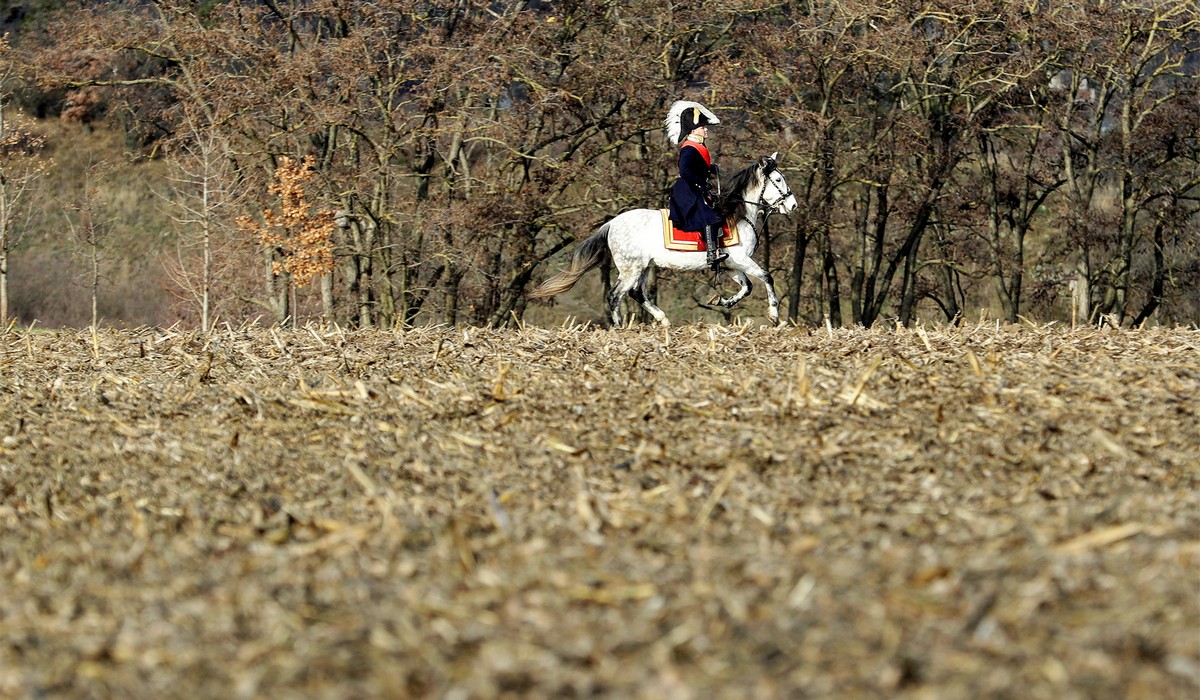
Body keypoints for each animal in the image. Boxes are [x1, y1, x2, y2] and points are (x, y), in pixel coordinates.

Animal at [532, 153, 796, 326]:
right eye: (778, 180)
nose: (793, 206)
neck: (736, 213)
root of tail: (611, 224)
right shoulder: (741, 259)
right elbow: (766, 277)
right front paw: (774, 315)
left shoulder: (731, 264)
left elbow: (747, 287)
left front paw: (722, 300)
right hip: (631, 268)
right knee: (616, 295)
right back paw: (620, 328)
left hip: (644, 266)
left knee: (636, 293)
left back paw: (663, 320)